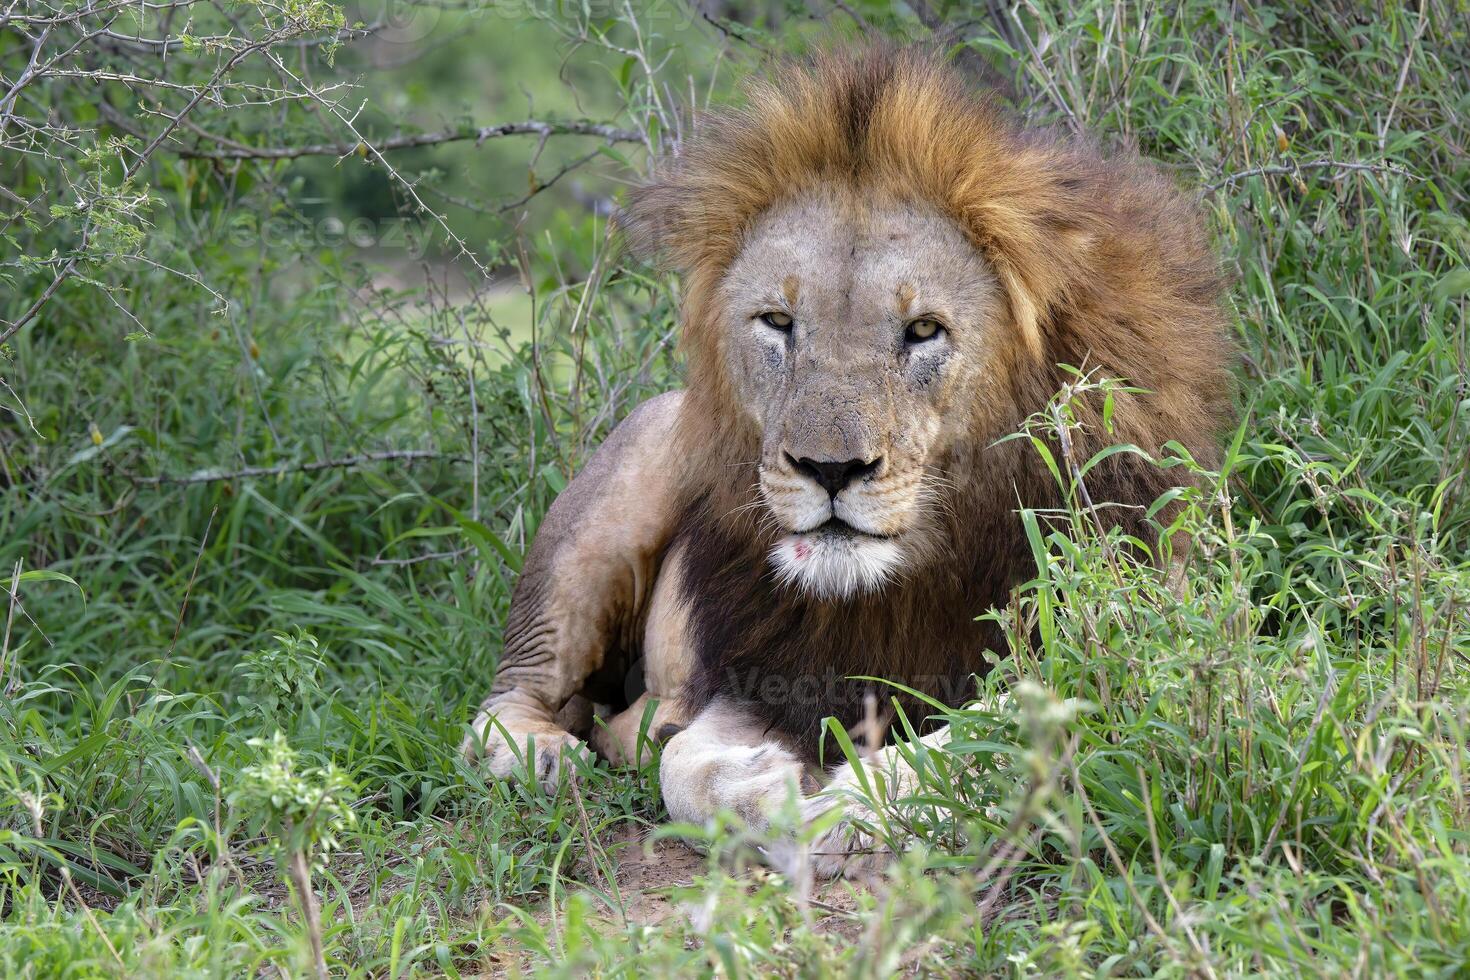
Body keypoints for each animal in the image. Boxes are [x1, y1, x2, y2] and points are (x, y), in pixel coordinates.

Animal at [464, 45, 1234, 875]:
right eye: (777, 322)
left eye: (924, 330)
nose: (829, 469)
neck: (916, 568)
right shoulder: (771, 667)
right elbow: (681, 767)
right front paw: (764, 791)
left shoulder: (1132, 644)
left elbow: (985, 734)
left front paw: (850, 806)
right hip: (623, 486)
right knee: (516, 685)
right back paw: (535, 751)